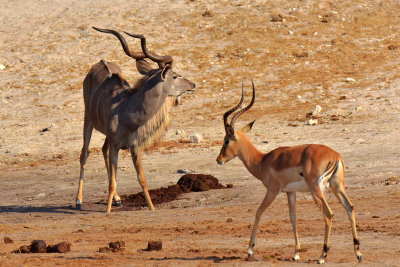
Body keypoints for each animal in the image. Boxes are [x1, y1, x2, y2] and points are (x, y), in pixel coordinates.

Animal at [76, 27, 196, 214]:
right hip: (88, 120)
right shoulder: (116, 145)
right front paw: (107, 211)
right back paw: (79, 201)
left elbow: (142, 179)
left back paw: (118, 199)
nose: (193, 85)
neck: (126, 111)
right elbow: (112, 182)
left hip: (106, 136)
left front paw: (152, 208)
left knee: (102, 150)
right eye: (175, 76)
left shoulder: (134, 147)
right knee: (85, 154)